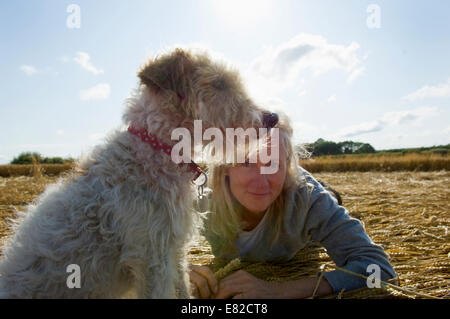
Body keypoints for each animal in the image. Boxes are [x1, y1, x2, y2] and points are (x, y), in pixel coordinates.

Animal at [0, 48, 264, 298]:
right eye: (219, 83)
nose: (270, 117)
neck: (156, 150)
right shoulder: (152, 255)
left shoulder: (173, 251)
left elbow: (182, 288)